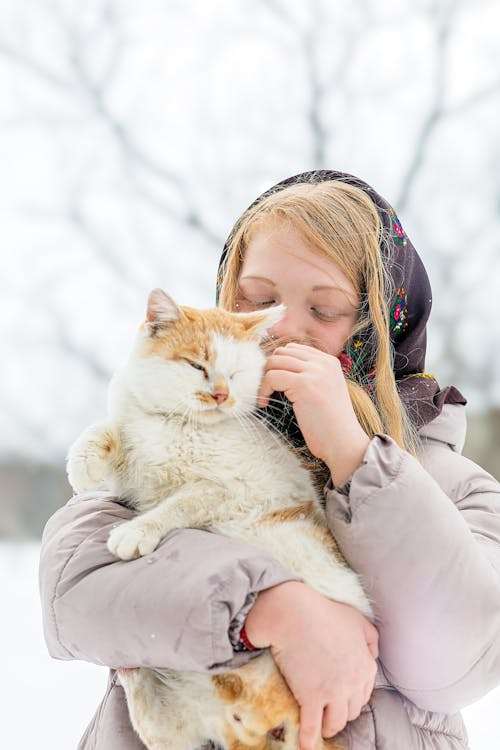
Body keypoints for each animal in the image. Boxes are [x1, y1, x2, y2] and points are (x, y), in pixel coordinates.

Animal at [65, 290, 372, 750]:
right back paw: (133, 674)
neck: (178, 425)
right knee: (158, 729)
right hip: (180, 717)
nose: (221, 395)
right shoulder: (133, 461)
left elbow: (176, 506)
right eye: (198, 365)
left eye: (235, 372)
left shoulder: (225, 491)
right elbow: (107, 433)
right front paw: (82, 465)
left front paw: (136, 532)